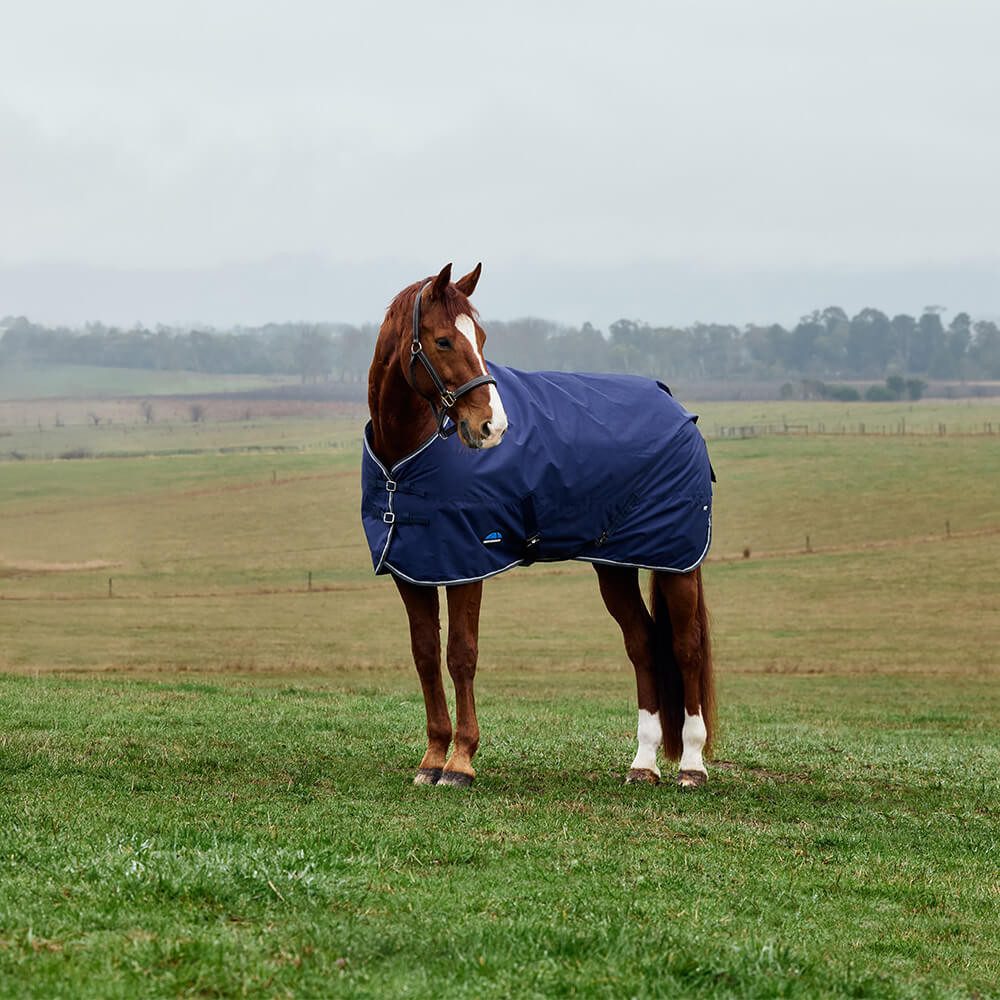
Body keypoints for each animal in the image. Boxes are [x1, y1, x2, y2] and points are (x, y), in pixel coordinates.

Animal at [362, 263, 715, 789]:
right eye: (443, 341)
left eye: (481, 337)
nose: (493, 427)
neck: (404, 459)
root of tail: (679, 410)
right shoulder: (414, 567)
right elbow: (425, 654)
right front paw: (431, 759)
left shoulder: (468, 562)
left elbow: (461, 654)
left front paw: (460, 763)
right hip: (615, 565)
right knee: (644, 644)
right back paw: (644, 763)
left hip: (677, 561)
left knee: (686, 646)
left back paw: (691, 764)